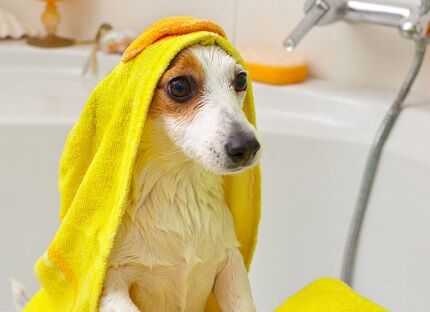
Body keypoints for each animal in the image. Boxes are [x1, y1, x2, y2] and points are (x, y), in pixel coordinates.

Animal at [13, 44, 260, 312]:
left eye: (241, 79)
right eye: (180, 86)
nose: (247, 146)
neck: (179, 192)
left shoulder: (230, 264)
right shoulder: (111, 282)